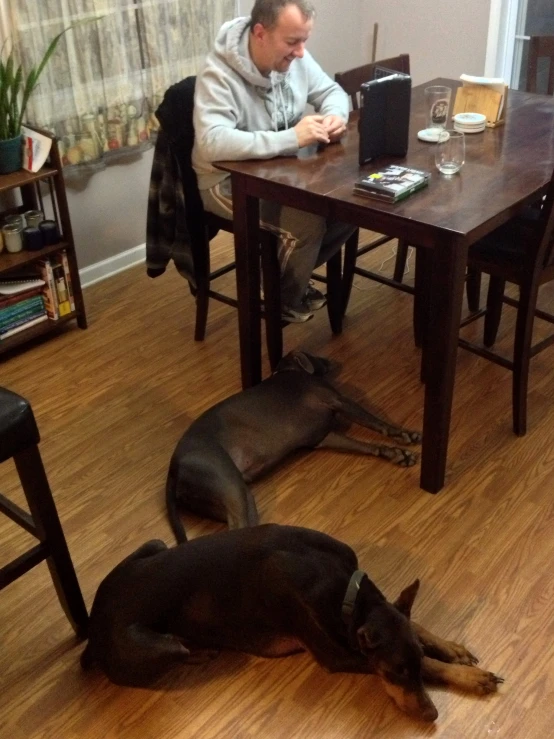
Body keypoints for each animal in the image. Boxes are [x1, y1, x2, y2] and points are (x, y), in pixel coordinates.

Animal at [81, 528, 500, 724]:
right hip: (156, 646)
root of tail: (93, 625)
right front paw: (470, 678)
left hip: (153, 543)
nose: (431, 716)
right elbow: (429, 664)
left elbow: (421, 632)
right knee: (176, 647)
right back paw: (200, 650)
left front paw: (451, 648)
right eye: (395, 673)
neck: (348, 592)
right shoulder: (337, 655)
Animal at [166, 352, 420, 544]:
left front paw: (397, 454)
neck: (289, 371)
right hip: (231, 484)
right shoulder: (337, 400)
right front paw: (405, 434)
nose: (332, 360)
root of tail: (174, 468)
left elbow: (368, 446)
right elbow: (376, 422)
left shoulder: (324, 438)